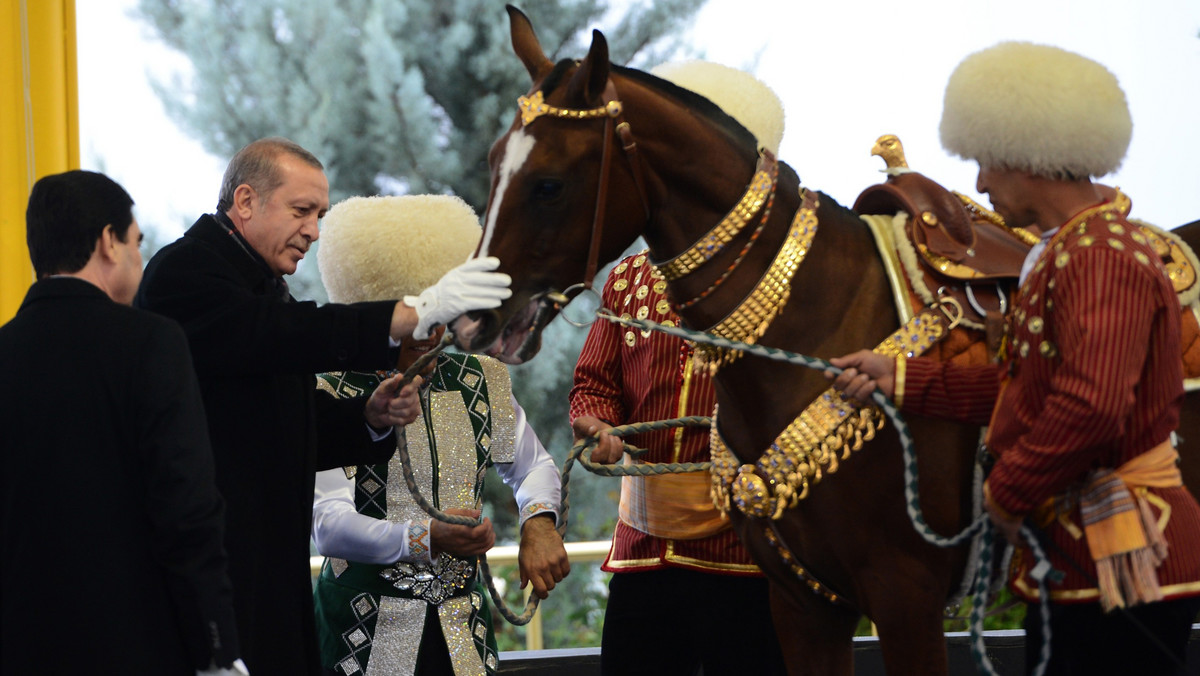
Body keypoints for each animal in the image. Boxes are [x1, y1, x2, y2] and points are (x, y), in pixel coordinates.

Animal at [453, 6, 988, 676]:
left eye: (549, 184)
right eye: (493, 162)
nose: (470, 321)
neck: (826, 323)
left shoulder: (906, 594)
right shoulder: (805, 602)